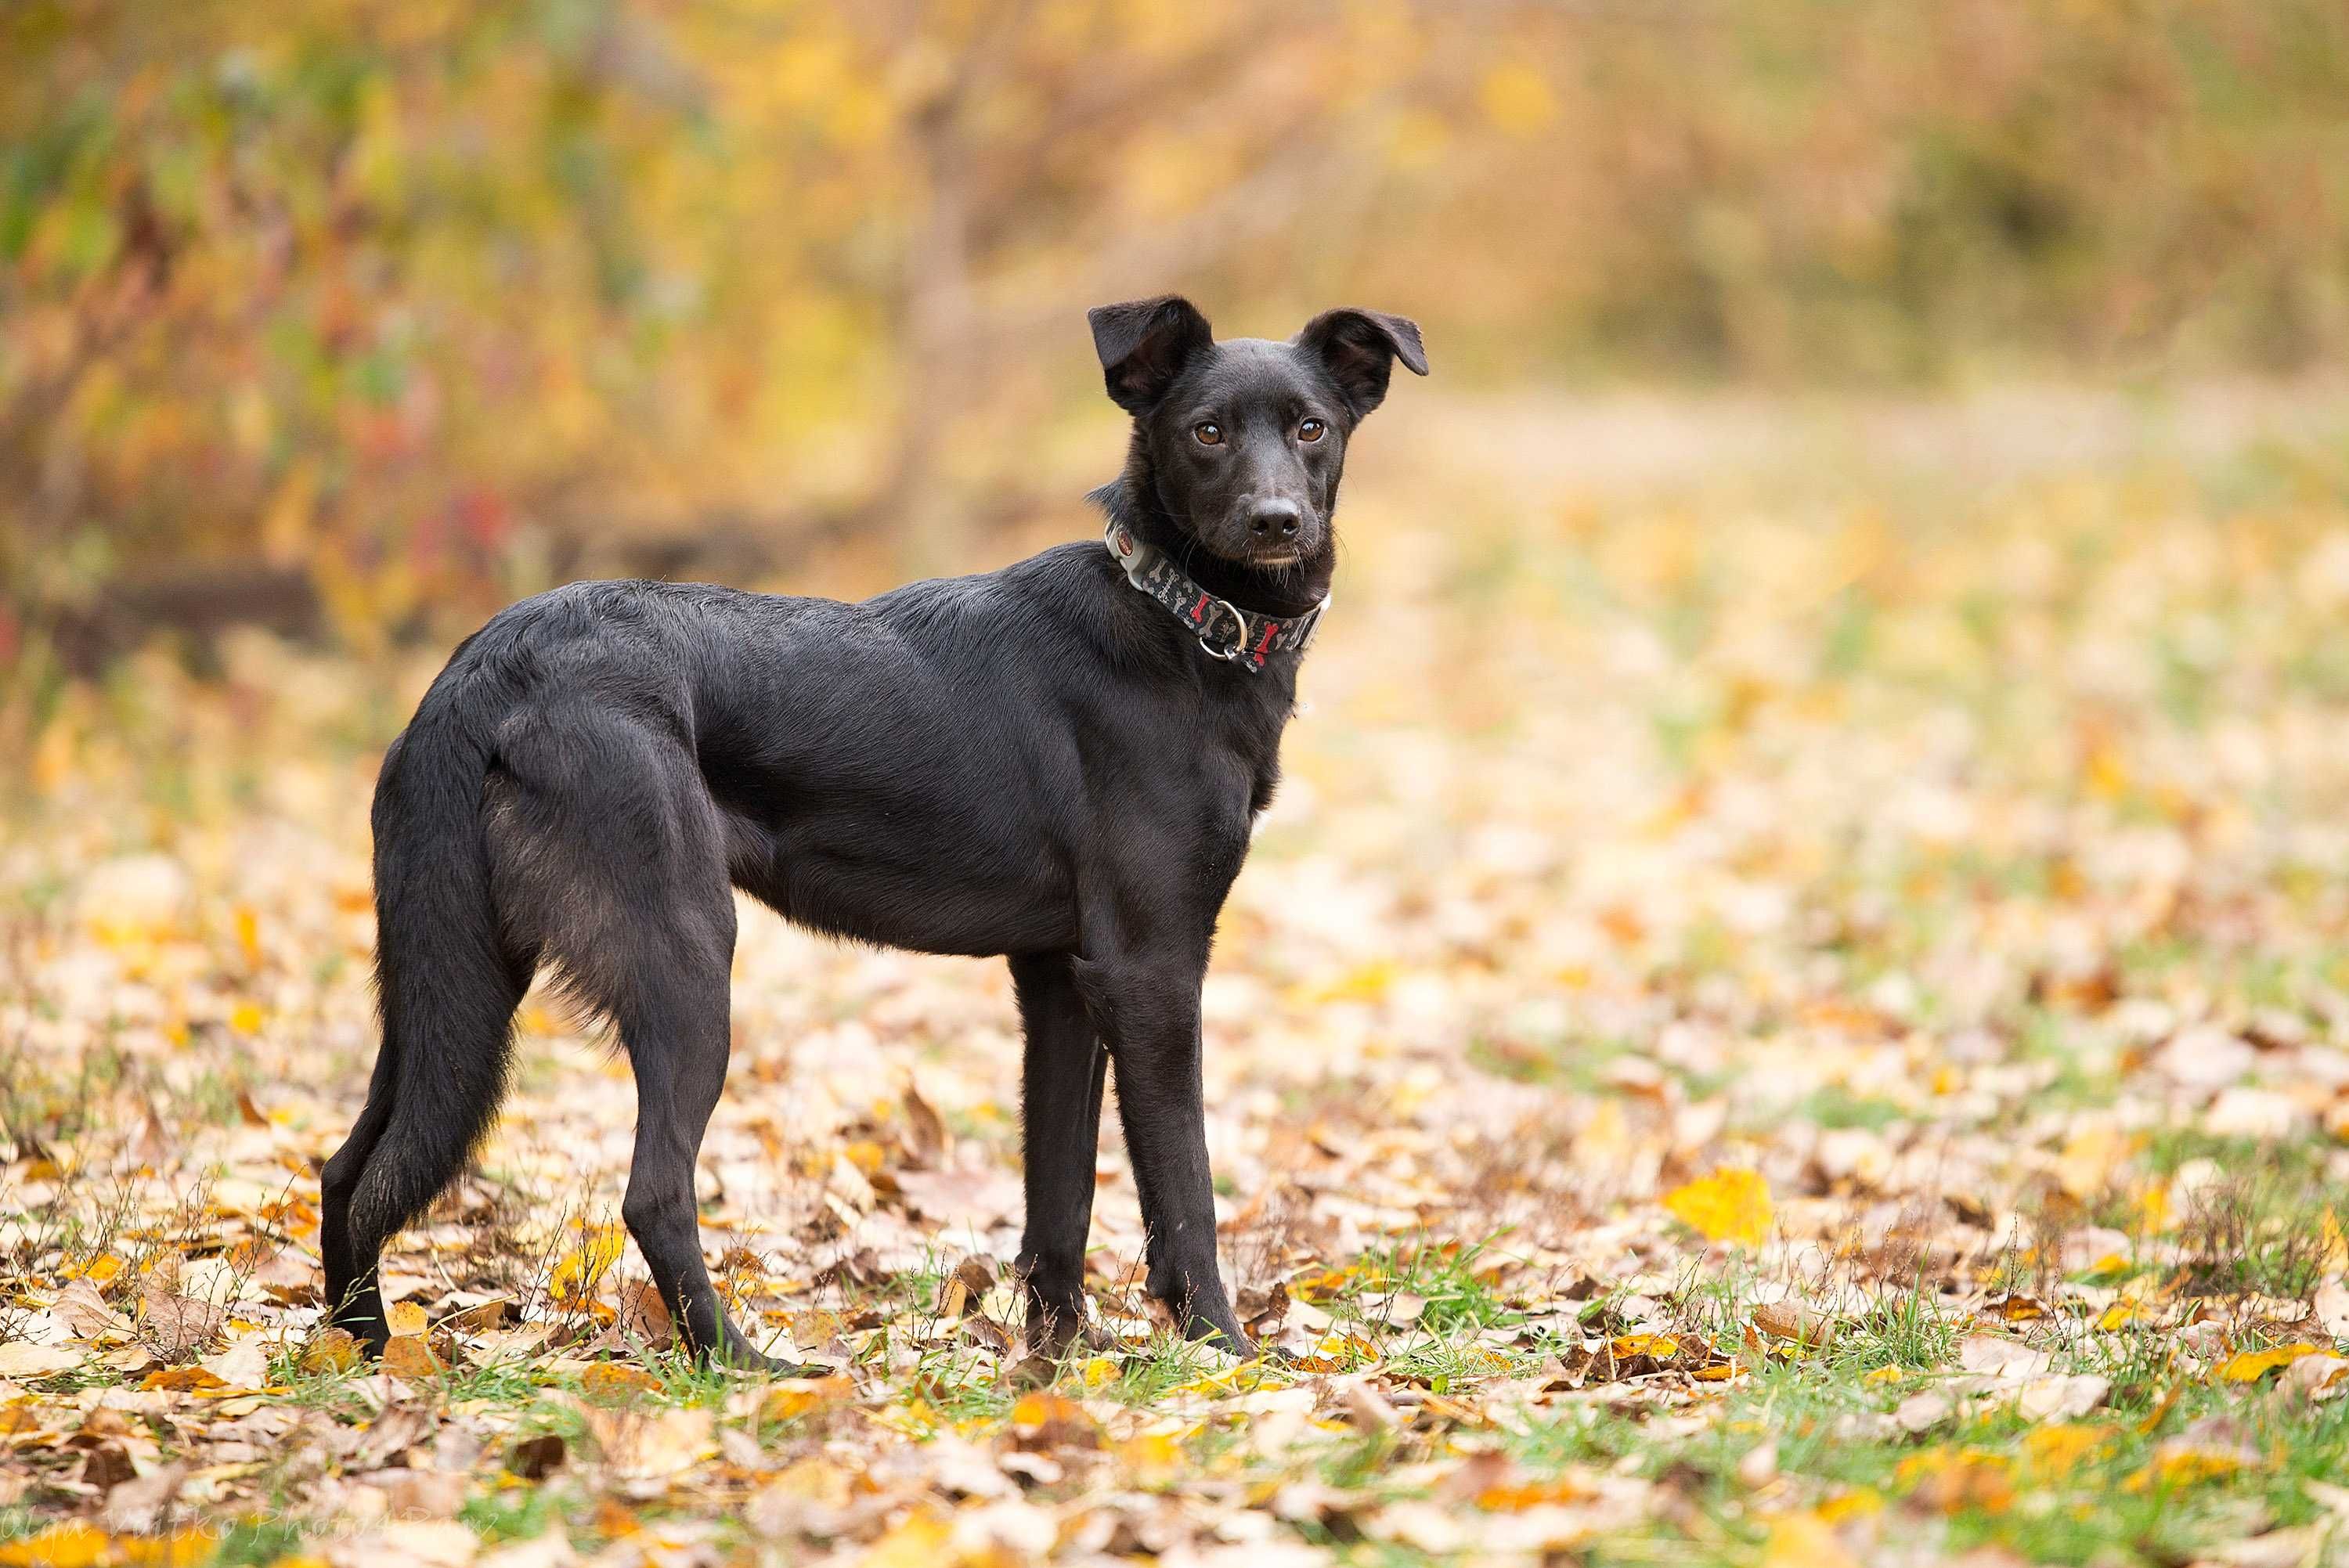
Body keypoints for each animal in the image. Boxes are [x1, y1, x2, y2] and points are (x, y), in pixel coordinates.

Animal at [319, 297, 1419, 1371]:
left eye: (1311, 428)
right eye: (1206, 432)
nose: (1276, 520)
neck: (1181, 619)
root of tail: (483, 671)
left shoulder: (1061, 979)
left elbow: (1060, 1195)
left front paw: (1058, 1361)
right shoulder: (1150, 969)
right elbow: (1183, 1189)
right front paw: (1223, 1352)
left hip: (444, 977)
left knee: (347, 1167)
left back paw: (358, 1346)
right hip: (681, 954)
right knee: (654, 1189)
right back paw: (743, 1365)